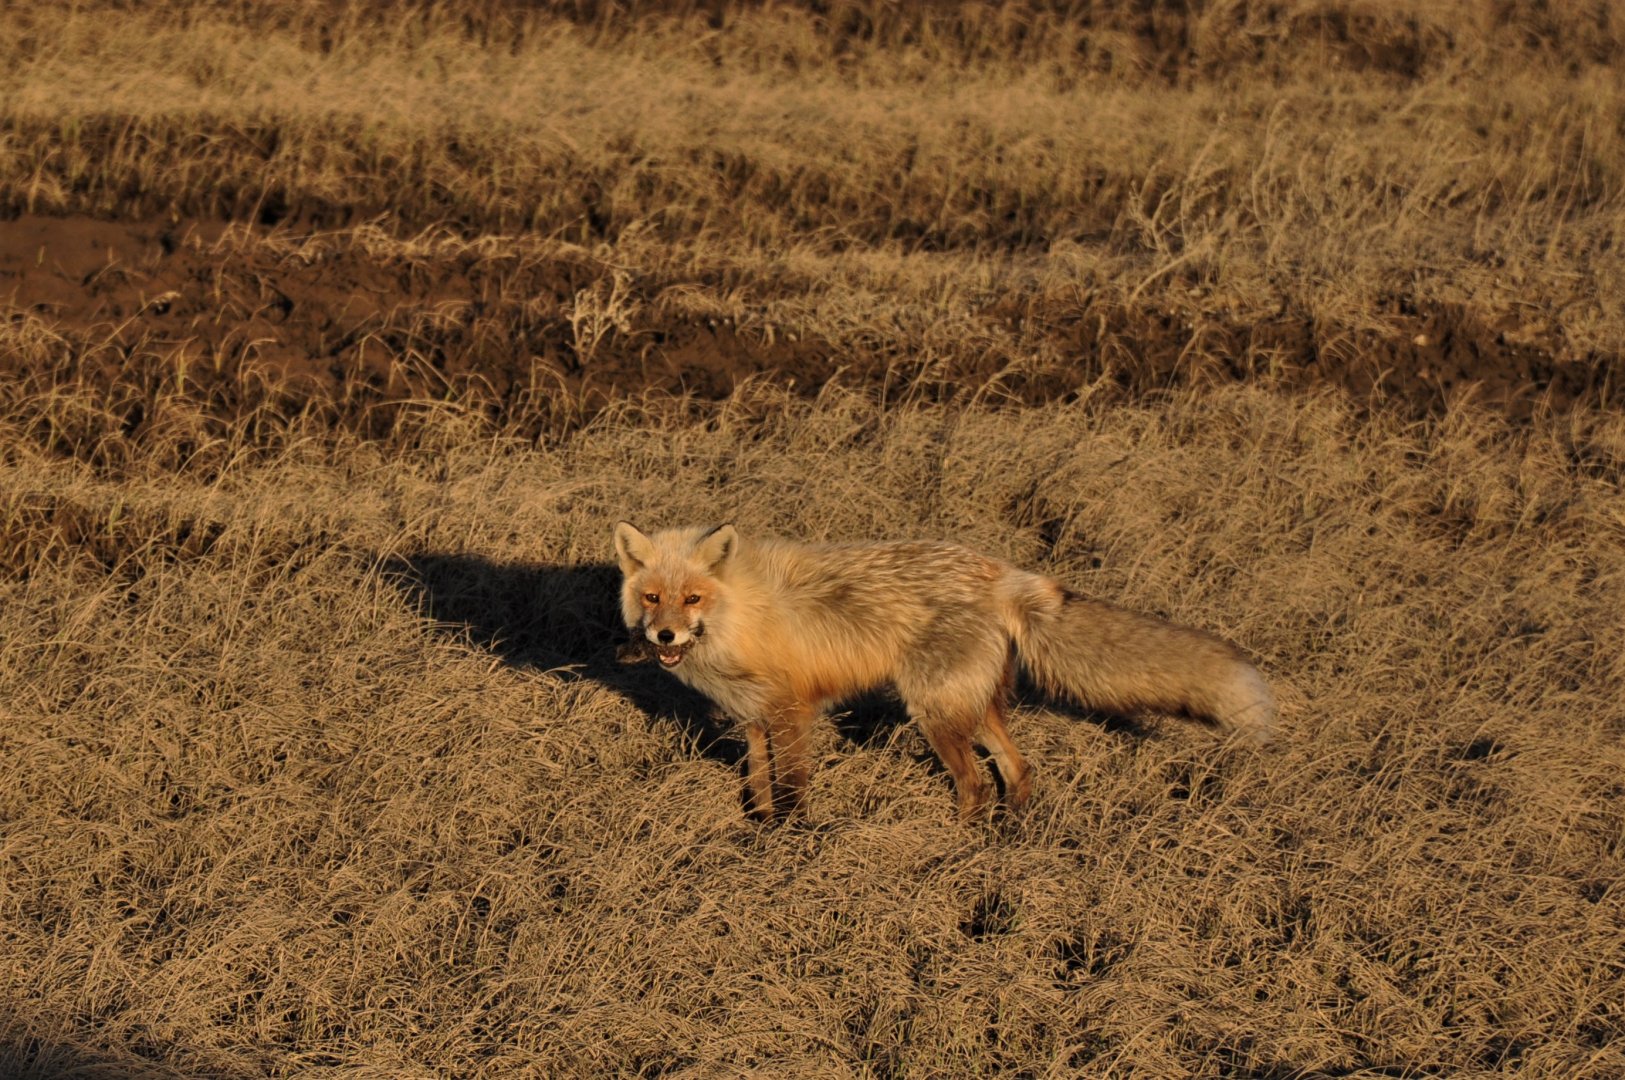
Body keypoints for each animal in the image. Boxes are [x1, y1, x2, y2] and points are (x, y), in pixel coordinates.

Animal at [613, 521, 1277, 821]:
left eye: (692, 599)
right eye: (653, 598)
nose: (663, 636)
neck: (740, 620)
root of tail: (1000, 570)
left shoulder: (792, 711)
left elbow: (794, 789)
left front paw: (792, 843)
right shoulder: (754, 715)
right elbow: (756, 783)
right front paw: (757, 829)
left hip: (934, 711)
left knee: (976, 783)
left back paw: (955, 848)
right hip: (969, 706)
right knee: (1017, 769)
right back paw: (1008, 835)